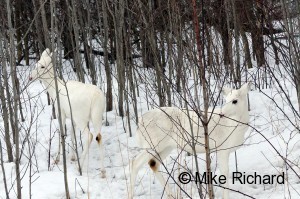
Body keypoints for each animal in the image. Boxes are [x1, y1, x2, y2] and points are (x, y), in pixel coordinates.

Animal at [29, 48, 106, 177]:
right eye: (36, 64)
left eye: (43, 66)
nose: (30, 77)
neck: (54, 91)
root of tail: (96, 97)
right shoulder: (72, 117)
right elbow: (72, 134)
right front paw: (73, 157)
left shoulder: (61, 112)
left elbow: (62, 133)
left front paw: (57, 159)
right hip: (97, 115)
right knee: (98, 137)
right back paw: (103, 172)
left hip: (81, 117)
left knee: (89, 136)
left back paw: (80, 168)